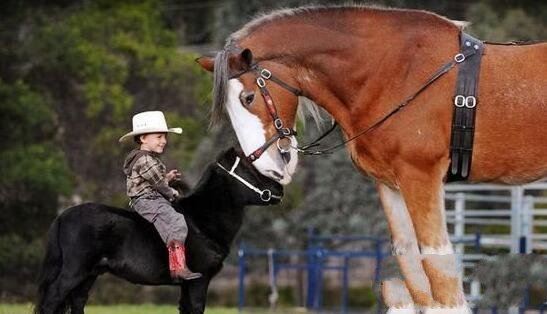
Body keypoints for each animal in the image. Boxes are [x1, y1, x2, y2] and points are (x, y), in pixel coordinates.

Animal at [35, 148, 282, 314]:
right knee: (51, 301)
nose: (279, 189)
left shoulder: (187, 285)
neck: (201, 221)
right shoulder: (199, 281)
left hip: (89, 275)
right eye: (249, 170)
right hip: (74, 272)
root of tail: (63, 216)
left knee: (77, 302)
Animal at [197, 4, 547, 314]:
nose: (267, 166)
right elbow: (412, 265)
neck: (394, 73)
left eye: (248, 97)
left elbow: (438, 265)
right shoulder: (392, 185)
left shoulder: (421, 176)